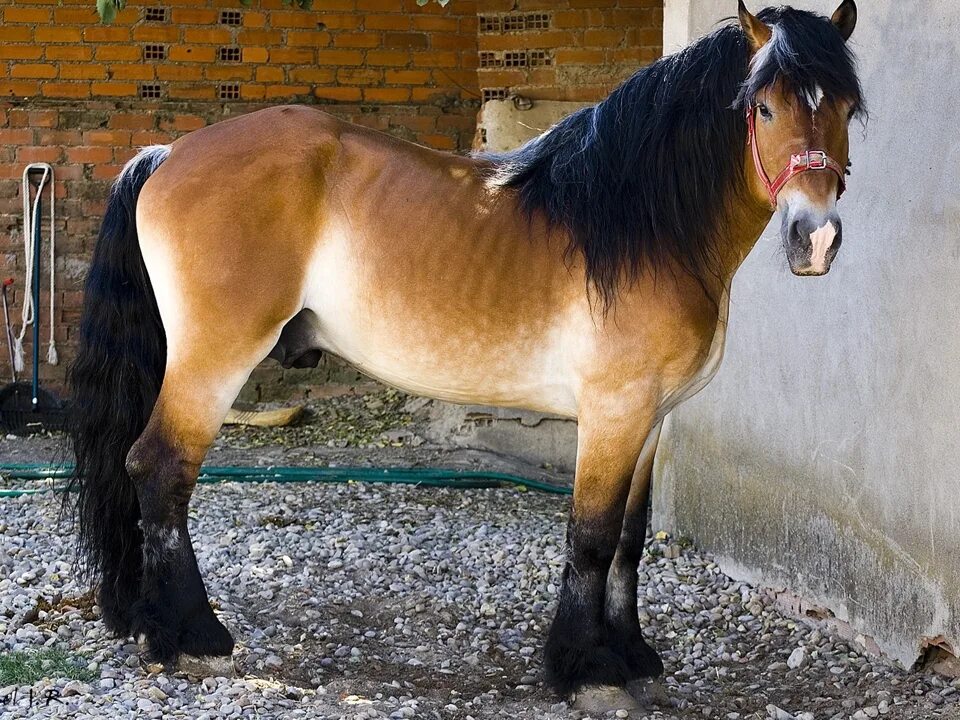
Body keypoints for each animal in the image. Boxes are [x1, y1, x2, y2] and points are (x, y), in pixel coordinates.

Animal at [67, 0, 864, 708]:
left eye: (848, 109)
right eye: (763, 108)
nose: (817, 239)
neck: (644, 223)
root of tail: (170, 153)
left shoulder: (650, 418)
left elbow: (629, 540)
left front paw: (634, 656)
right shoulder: (613, 412)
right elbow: (592, 536)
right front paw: (588, 671)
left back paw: (151, 625)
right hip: (214, 360)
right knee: (161, 469)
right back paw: (196, 639)